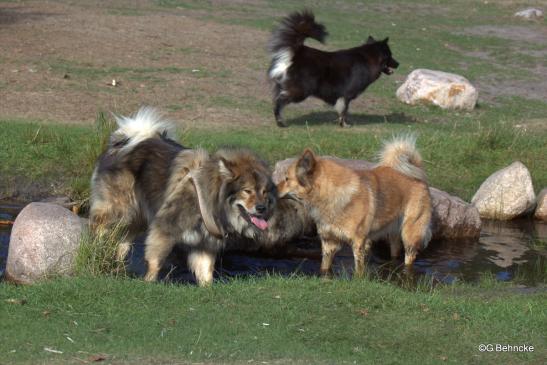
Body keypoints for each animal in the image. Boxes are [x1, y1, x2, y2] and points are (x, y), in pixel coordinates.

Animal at [278, 136, 432, 276]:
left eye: (286, 179)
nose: (273, 188)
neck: (330, 195)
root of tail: (417, 176)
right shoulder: (329, 242)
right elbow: (324, 267)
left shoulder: (357, 242)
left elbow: (358, 269)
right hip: (392, 233)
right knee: (395, 252)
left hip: (410, 235)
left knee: (409, 257)